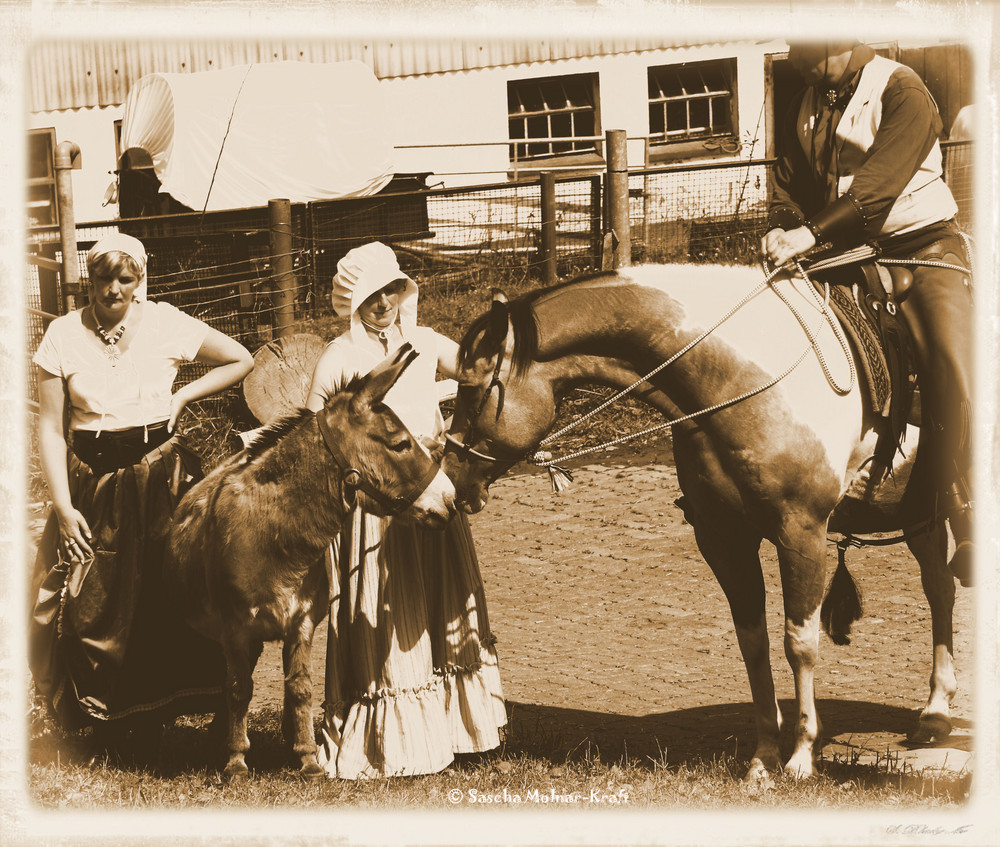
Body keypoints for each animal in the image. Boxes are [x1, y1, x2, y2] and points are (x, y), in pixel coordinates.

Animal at [165, 344, 458, 780]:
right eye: (401, 444)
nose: (452, 500)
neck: (273, 534)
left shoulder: (301, 621)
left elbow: (300, 687)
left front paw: (306, 758)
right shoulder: (234, 627)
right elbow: (238, 688)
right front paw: (236, 761)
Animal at [442, 264, 956, 780]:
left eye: (468, 389)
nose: (451, 478)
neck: (742, 382)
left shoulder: (801, 532)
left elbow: (800, 643)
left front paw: (800, 757)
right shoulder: (723, 539)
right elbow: (753, 644)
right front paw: (764, 758)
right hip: (923, 516)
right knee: (940, 589)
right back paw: (935, 714)